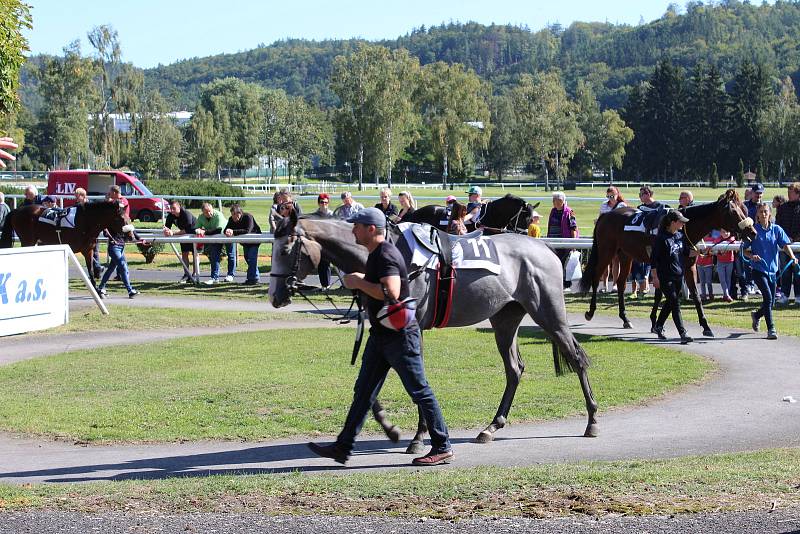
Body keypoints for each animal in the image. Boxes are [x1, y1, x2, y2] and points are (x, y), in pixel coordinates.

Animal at [0, 202, 130, 286]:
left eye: (128, 217)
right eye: (121, 218)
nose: (130, 235)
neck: (85, 222)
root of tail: (16, 210)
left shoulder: (88, 250)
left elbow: (91, 270)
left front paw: (97, 289)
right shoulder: (70, 249)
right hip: (28, 241)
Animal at [268, 214, 600, 452]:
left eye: (285, 249)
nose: (274, 296)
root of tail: (544, 248)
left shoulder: (410, 327)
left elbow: (412, 381)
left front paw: (417, 438)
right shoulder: (385, 330)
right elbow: (368, 384)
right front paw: (390, 427)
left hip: (549, 314)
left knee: (577, 359)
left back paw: (592, 421)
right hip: (505, 318)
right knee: (514, 369)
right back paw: (491, 427)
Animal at [580, 191, 756, 338]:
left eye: (743, 208)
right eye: (733, 212)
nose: (752, 231)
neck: (683, 230)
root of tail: (605, 215)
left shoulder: (688, 266)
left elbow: (694, 295)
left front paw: (705, 326)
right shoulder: (661, 265)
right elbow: (663, 293)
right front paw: (657, 324)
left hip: (625, 255)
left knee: (621, 283)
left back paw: (625, 318)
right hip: (606, 252)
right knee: (596, 277)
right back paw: (590, 312)